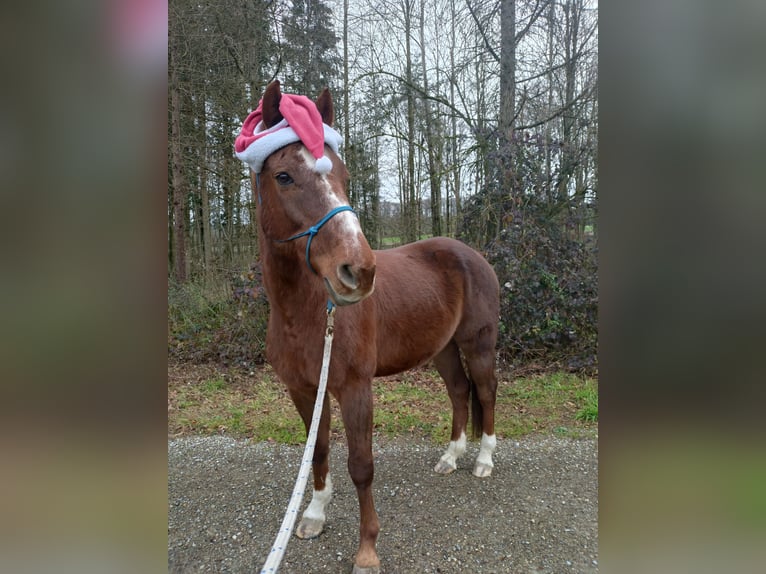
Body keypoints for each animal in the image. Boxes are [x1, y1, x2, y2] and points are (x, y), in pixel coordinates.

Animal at [240, 81, 504, 574]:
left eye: (342, 173)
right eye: (283, 176)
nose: (359, 271)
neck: (305, 314)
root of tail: (472, 255)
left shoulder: (355, 388)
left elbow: (361, 465)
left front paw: (366, 550)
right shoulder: (304, 390)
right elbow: (319, 451)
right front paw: (314, 515)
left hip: (478, 344)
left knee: (486, 390)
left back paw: (482, 461)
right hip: (441, 349)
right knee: (459, 391)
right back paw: (451, 456)